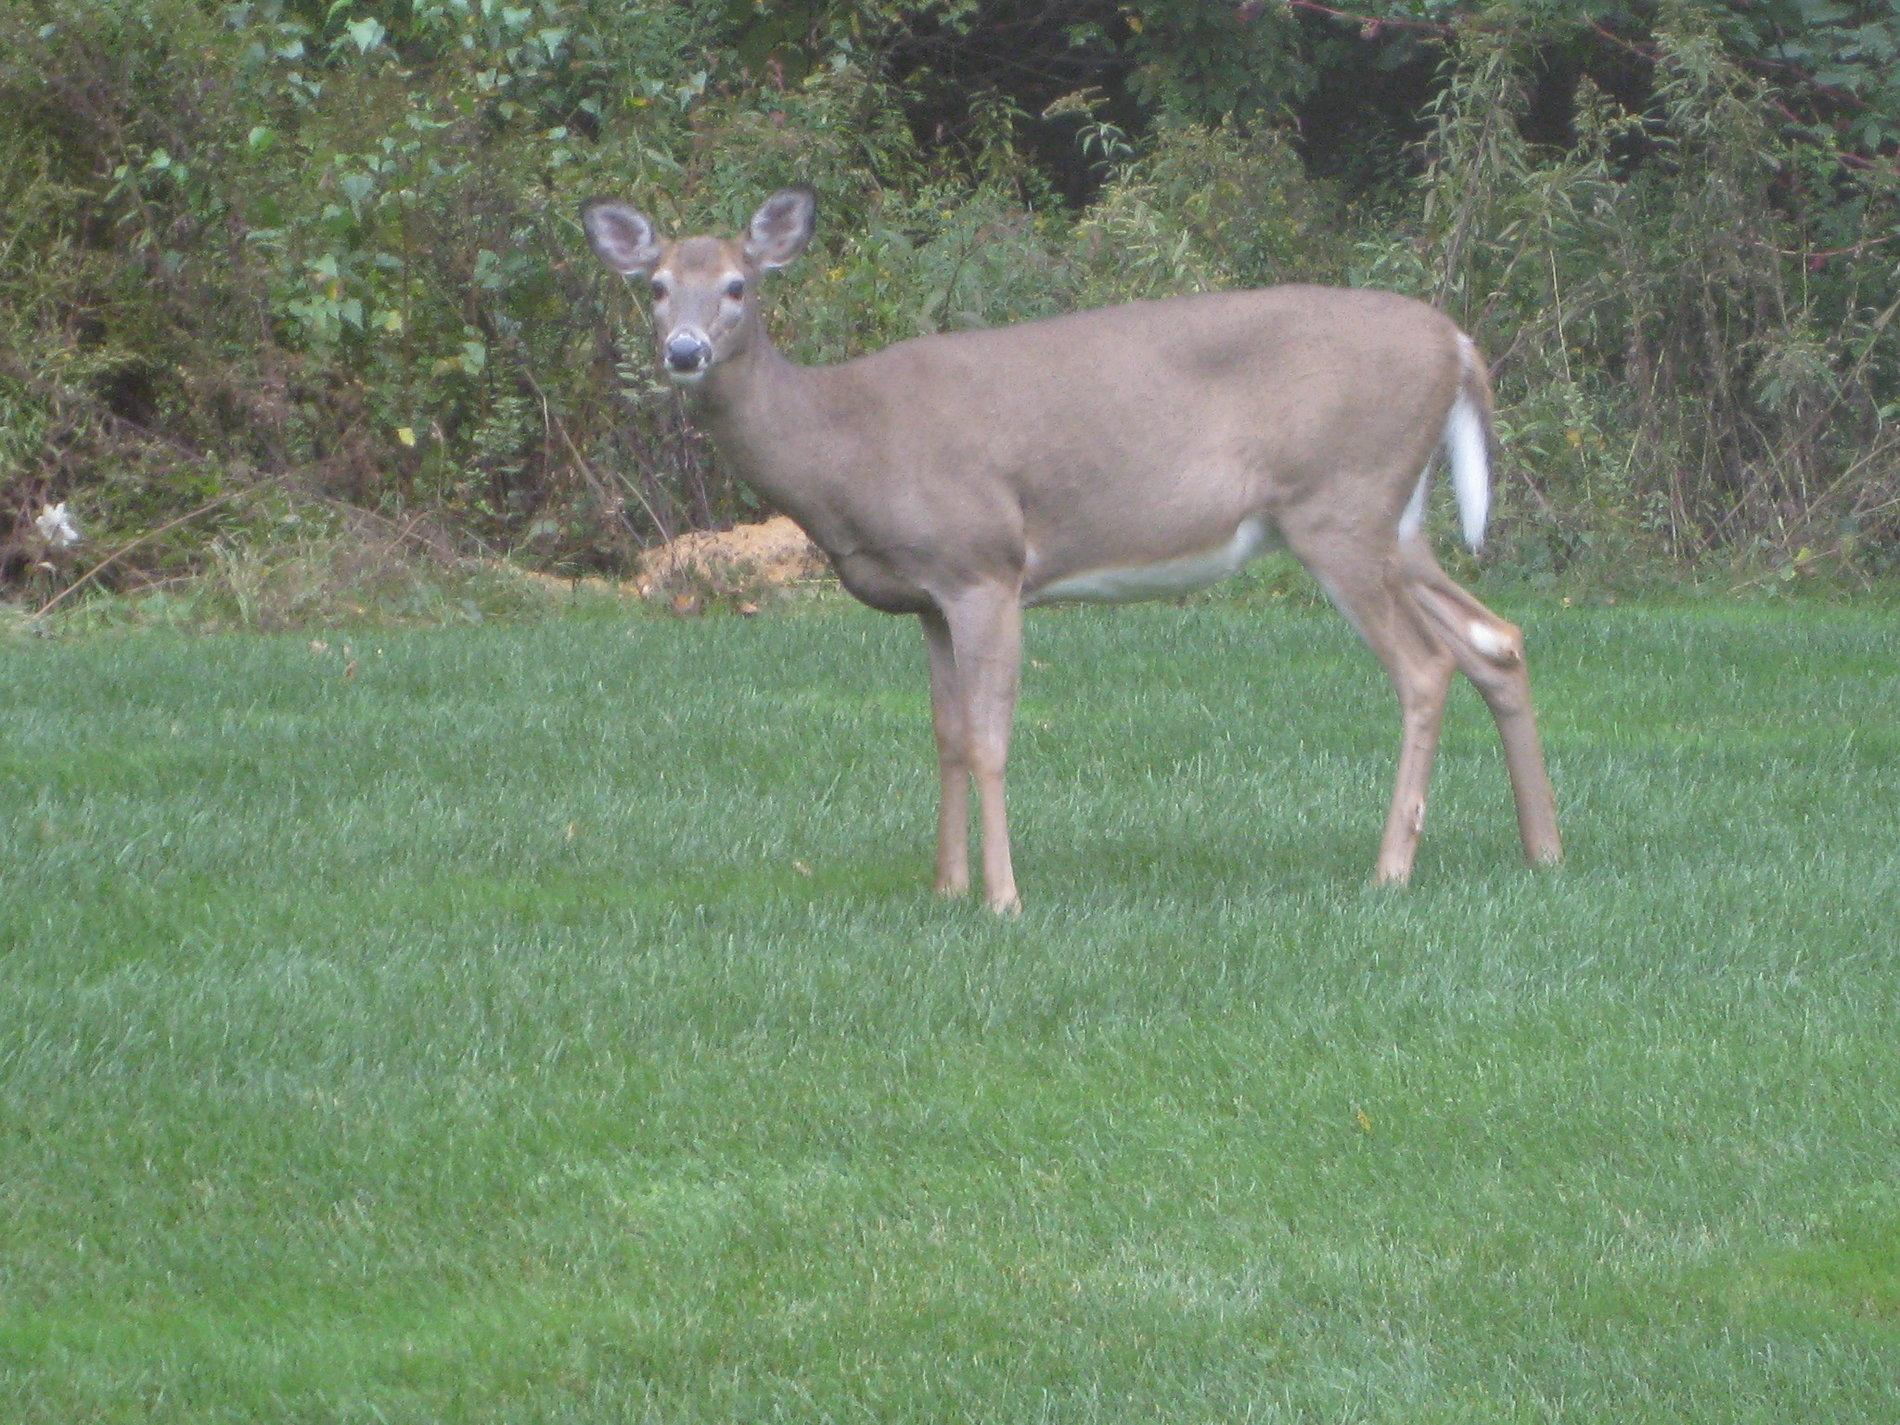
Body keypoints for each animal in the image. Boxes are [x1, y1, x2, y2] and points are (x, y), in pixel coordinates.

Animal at [579, 186, 1562, 914]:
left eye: (738, 285)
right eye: (655, 285)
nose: (683, 351)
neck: (843, 445)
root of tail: (1457, 342)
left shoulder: (984, 564)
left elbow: (990, 737)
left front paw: (1002, 899)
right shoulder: (927, 598)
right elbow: (943, 734)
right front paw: (946, 887)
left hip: (1342, 503)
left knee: (1426, 665)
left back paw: (1390, 869)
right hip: (1396, 520)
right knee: (1497, 638)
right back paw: (1543, 849)